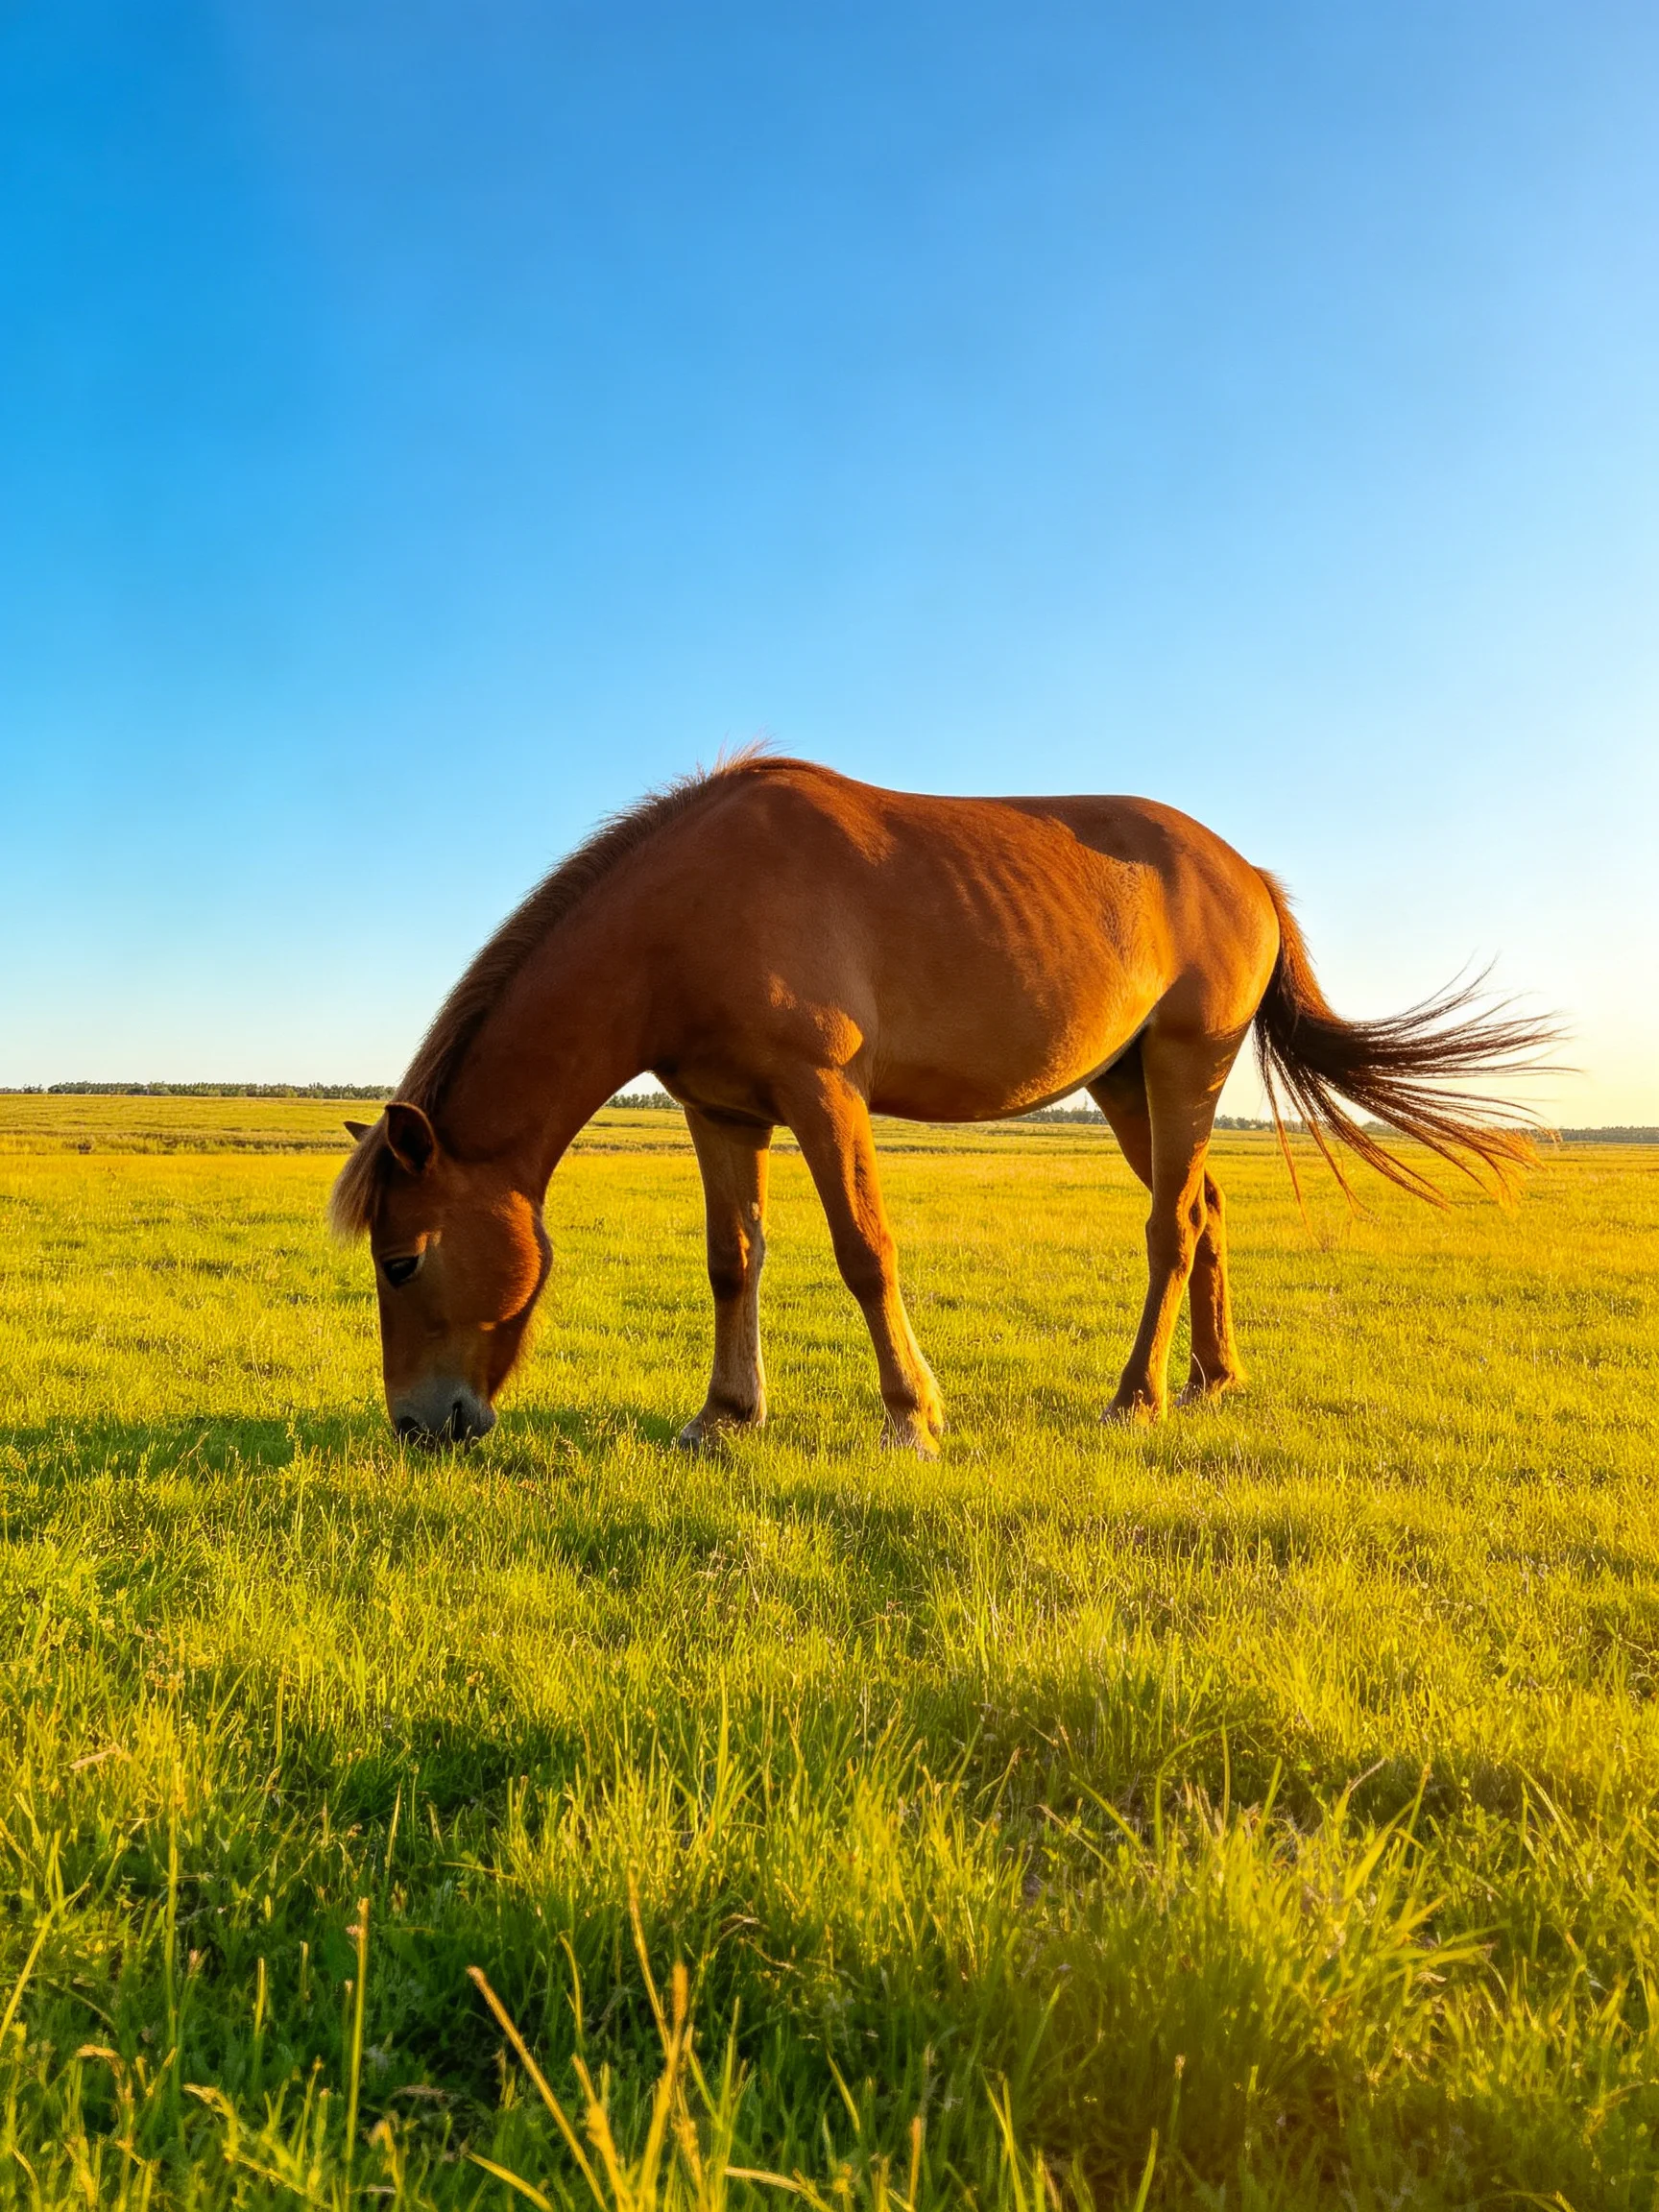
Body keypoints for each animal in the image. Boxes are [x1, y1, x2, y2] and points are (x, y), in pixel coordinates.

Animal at [330, 753, 1550, 1452]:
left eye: (403, 1259)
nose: (418, 1426)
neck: (689, 909)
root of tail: (1247, 874)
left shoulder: (824, 1092)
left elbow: (864, 1250)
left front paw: (912, 1414)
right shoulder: (721, 1113)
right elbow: (733, 1263)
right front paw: (724, 1416)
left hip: (1183, 1065)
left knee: (1169, 1227)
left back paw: (1136, 1398)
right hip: (1127, 1083)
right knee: (1205, 1213)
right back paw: (1210, 1381)